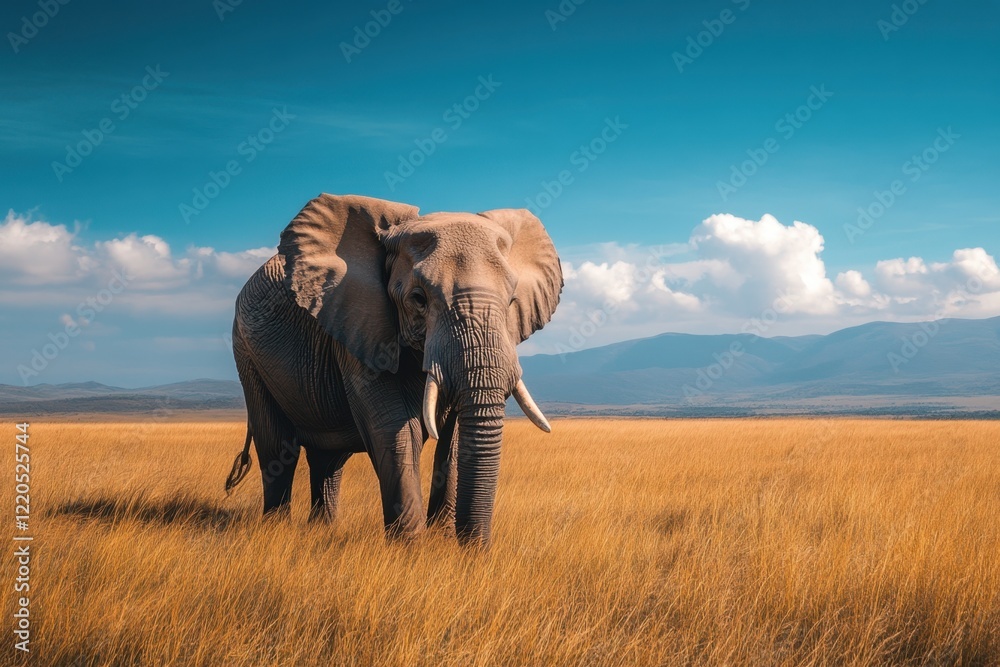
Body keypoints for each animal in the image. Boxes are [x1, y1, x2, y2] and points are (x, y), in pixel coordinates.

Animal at [224, 194, 562, 544]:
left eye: (511, 301)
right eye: (419, 299)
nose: (476, 550)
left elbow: (454, 435)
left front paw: (441, 543)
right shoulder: (359, 320)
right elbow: (393, 427)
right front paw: (409, 548)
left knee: (328, 458)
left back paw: (322, 529)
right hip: (246, 351)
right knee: (277, 448)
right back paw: (277, 529)